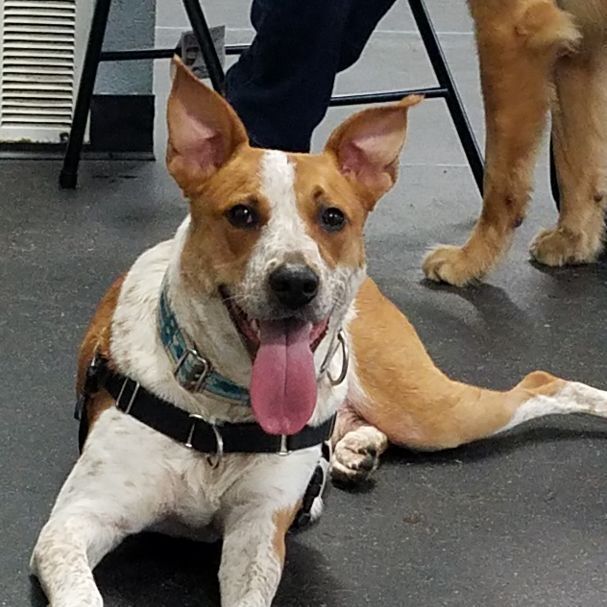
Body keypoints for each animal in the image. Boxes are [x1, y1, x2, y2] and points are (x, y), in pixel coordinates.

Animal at [29, 58, 607, 607]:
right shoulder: (75, 522)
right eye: (242, 213)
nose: (296, 282)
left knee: (540, 382)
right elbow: (81, 589)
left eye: (332, 217)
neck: (221, 415)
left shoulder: (258, 536)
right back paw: (354, 452)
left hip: (430, 413)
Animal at [422, 0, 607, 286]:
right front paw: (572, 241)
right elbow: (576, 168)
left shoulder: (510, 30)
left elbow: (498, 179)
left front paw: (471, 259)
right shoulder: (580, 45)